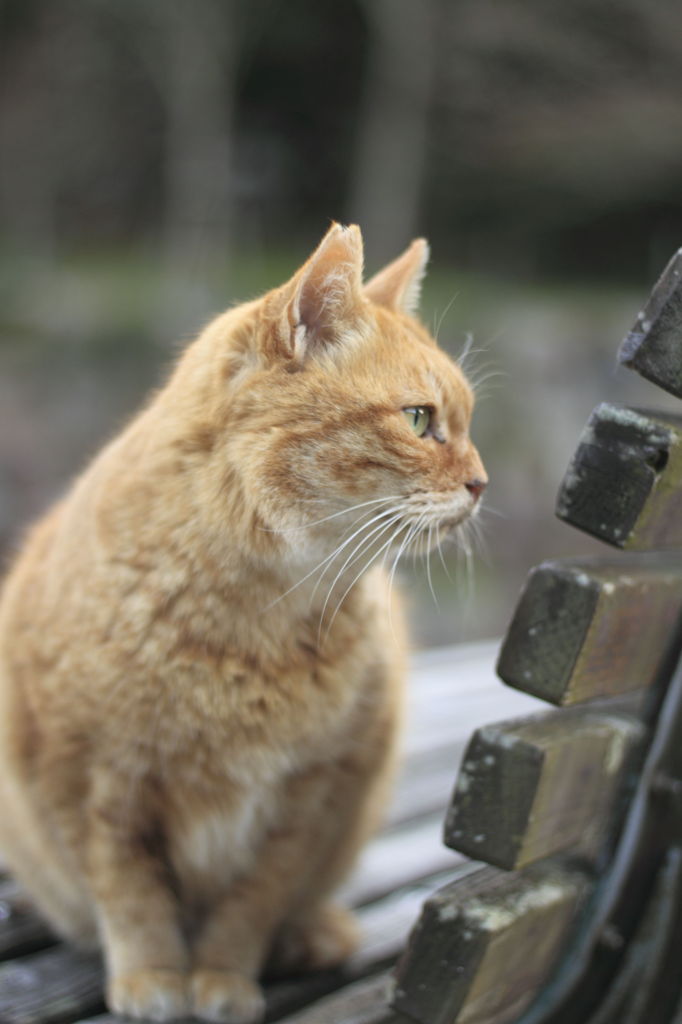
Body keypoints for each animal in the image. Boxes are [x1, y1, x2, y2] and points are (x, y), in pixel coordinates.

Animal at [0, 226, 483, 1024]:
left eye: (468, 423)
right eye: (419, 419)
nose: (481, 483)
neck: (250, 627)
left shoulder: (311, 794)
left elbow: (251, 904)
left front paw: (224, 978)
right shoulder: (93, 784)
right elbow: (133, 902)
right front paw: (153, 981)